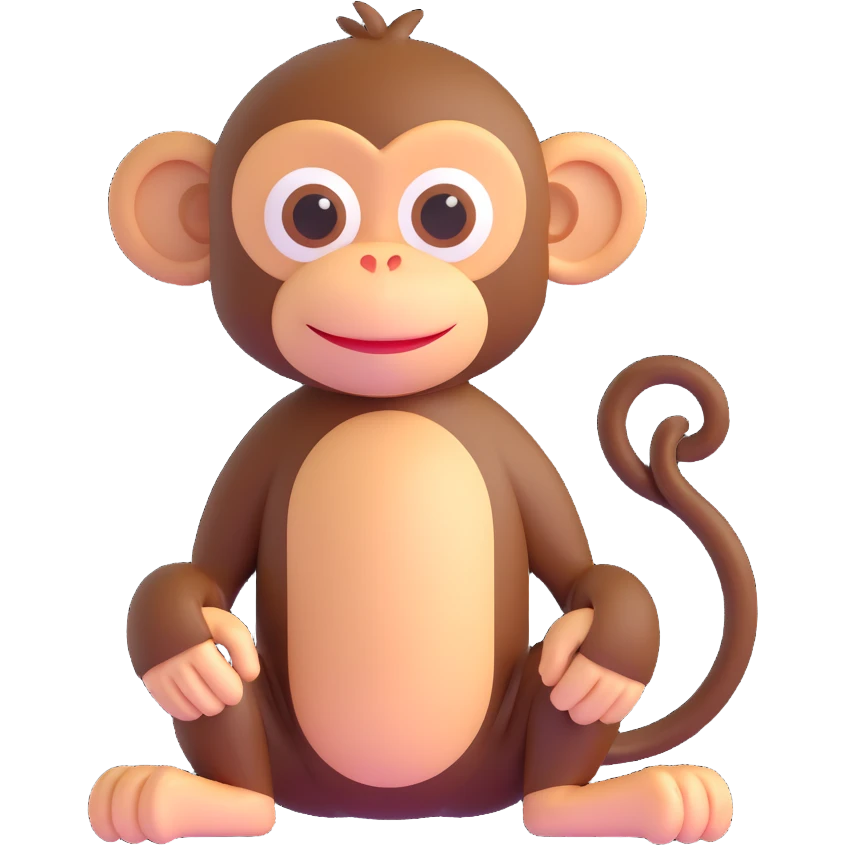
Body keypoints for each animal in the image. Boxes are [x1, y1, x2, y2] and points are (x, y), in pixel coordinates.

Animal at [91, 3, 756, 842]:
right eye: (312, 213)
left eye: (446, 213)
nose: (380, 262)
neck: (388, 405)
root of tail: (399, 807)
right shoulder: (262, 448)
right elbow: (203, 577)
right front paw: (182, 648)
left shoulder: (516, 451)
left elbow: (581, 577)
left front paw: (604, 651)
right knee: (232, 699)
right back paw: (193, 793)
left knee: (555, 702)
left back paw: (605, 797)